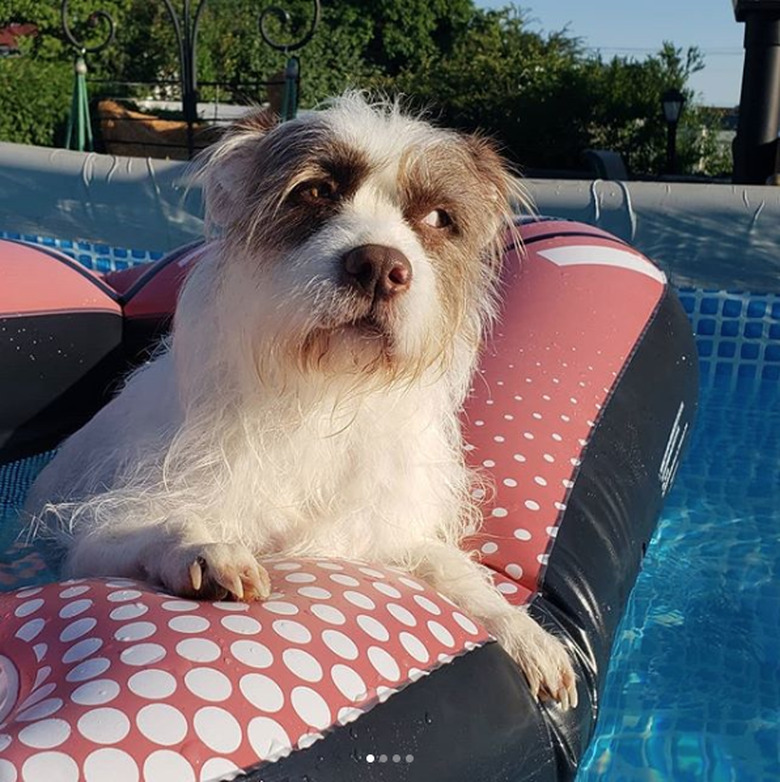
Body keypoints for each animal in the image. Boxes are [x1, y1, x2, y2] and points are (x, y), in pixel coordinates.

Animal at [25, 93, 572, 712]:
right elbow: (164, 524)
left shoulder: (383, 531)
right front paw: (204, 548)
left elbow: (449, 567)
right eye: (314, 191)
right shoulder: (99, 538)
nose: (379, 267)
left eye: (437, 218)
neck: (323, 393)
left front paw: (521, 628)